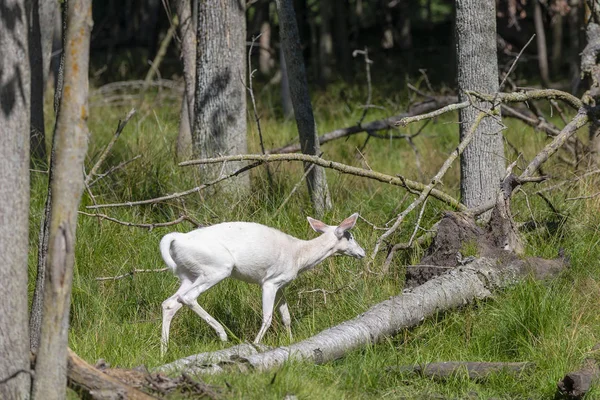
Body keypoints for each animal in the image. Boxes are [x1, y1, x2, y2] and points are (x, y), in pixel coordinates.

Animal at [159, 212, 364, 354]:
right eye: (350, 235)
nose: (363, 253)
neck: (299, 256)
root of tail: (176, 239)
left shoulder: (281, 285)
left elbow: (286, 317)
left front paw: (291, 341)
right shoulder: (269, 282)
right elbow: (267, 317)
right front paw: (256, 344)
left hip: (188, 274)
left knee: (170, 303)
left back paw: (163, 351)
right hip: (217, 268)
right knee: (188, 297)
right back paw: (223, 335)